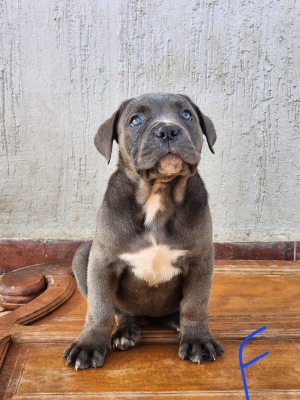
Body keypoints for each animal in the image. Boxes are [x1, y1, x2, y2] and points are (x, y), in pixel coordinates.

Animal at [63, 92, 223, 370]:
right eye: (135, 120)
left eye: (187, 115)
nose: (168, 130)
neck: (158, 192)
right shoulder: (102, 262)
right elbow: (100, 308)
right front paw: (89, 345)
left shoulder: (200, 261)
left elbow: (194, 304)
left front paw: (198, 340)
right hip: (84, 254)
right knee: (122, 311)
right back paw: (126, 331)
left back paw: (177, 324)